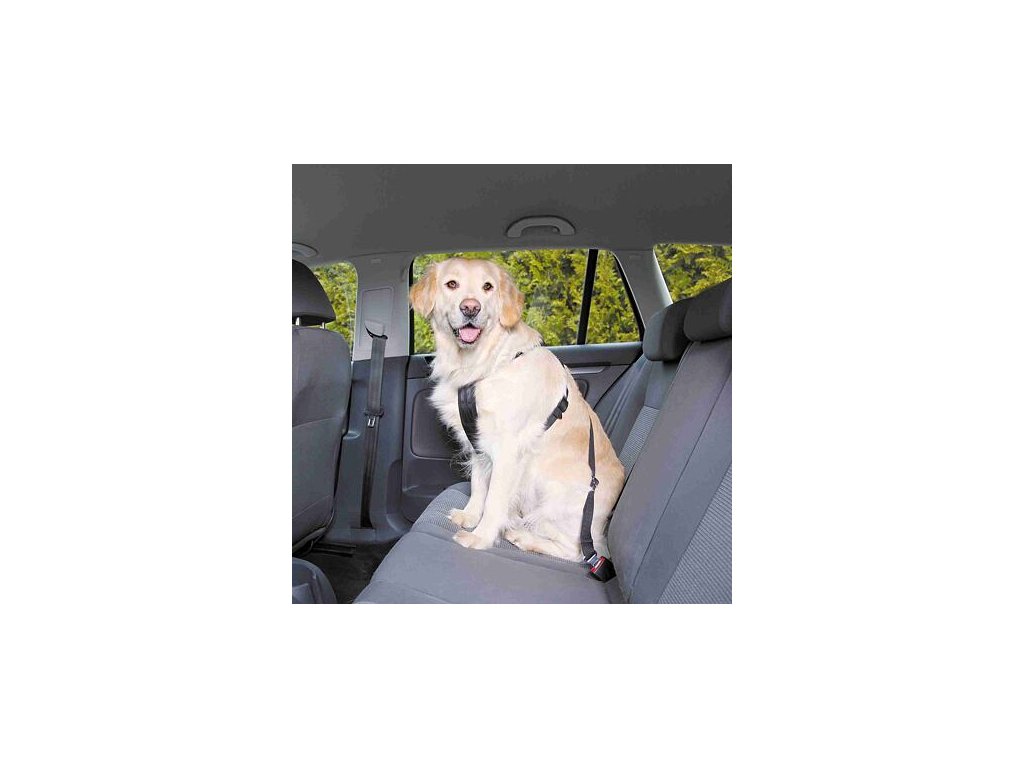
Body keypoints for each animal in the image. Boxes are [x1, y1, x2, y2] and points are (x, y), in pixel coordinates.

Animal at [409, 257, 625, 561]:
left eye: (488, 287)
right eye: (452, 284)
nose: (470, 308)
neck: (484, 364)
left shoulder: (509, 449)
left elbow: (495, 499)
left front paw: (480, 537)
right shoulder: (479, 442)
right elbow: (479, 485)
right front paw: (469, 516)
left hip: (554, 495)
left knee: (574, 551)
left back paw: (524, 537)